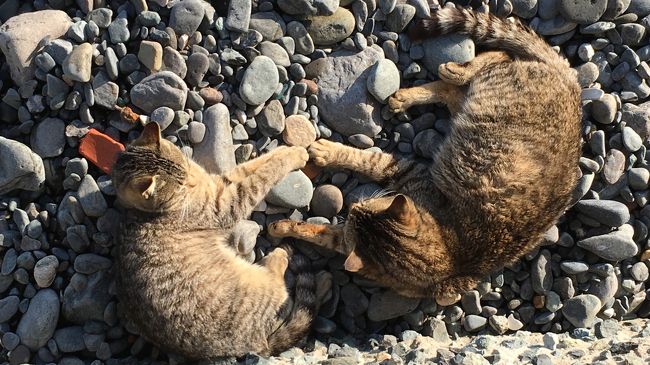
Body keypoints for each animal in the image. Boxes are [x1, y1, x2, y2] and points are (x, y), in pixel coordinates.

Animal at [112, 121, 322, 358]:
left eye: (184, 167)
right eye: (179, 186)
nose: (190, 180)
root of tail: (259, 345)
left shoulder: (221, 183)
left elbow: (254, 165)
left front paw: (291, 151)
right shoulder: (227, 205)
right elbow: (262, 176)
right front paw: (292, 156)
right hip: (255, 290)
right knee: (278, 285)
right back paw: (279, 256)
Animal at [266, 7, 580, 304]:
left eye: (364, 208)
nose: (353, 206)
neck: (449, 261)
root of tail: (572, 81)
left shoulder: (404, 175)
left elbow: (364, 163)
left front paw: (327, 152)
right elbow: (318, 231)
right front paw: (285, 226)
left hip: (488, 96)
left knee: (483, 68)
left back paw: (444, 77)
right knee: (482, 67)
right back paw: (425, 86)